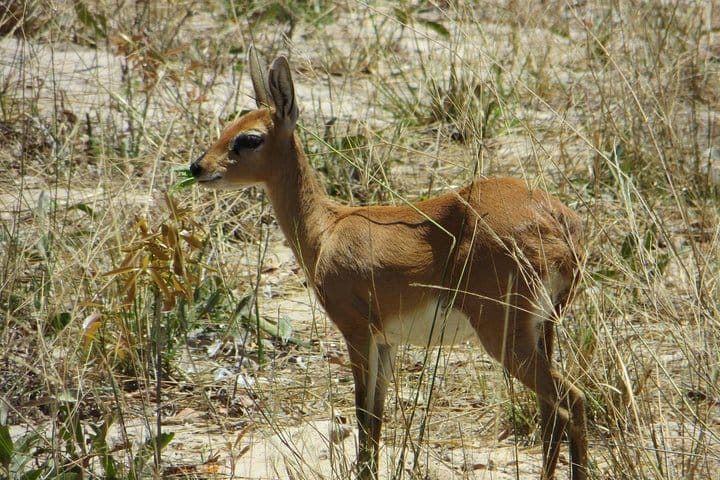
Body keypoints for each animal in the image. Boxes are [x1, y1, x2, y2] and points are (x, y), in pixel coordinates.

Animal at [189, 48, 588, 480]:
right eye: (230, 124)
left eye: (249, 138)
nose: (197, 167)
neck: (326, 229)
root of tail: (559, 222)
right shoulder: (386, 342)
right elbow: (377, 419)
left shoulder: (357, 332)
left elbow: (364, 416)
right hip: (541, 329)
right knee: (552, 412)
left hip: (504, 334)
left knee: (572, 399)